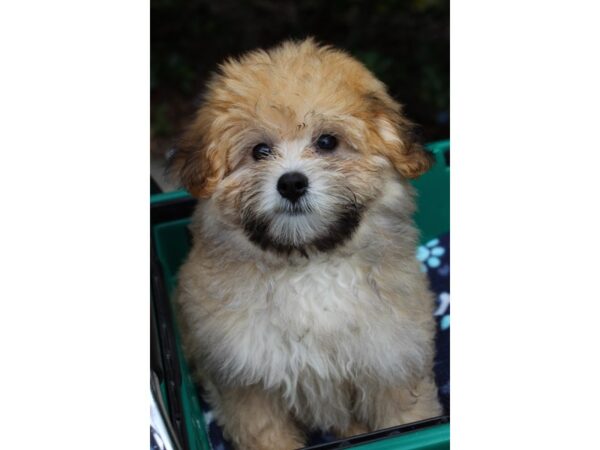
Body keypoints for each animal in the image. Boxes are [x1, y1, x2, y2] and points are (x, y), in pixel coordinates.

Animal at [171, 39, 442, 450]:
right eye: (260, 151)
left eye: (327, 142)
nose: (292, 183)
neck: (309, 263)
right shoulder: (249, 383)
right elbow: (266, 433)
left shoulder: (392, 362)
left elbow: (407, 418)